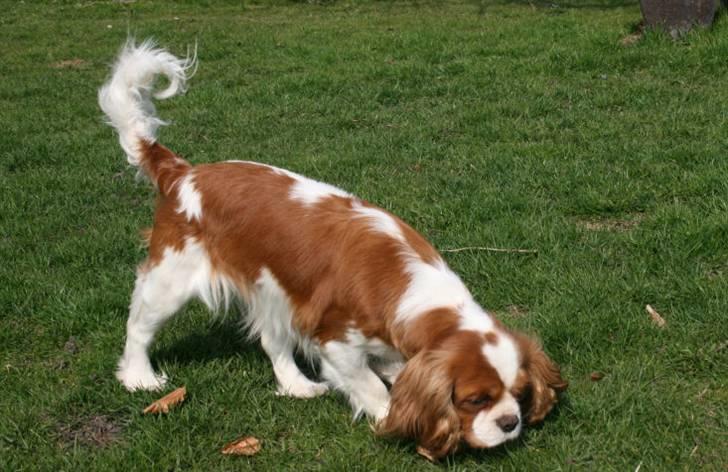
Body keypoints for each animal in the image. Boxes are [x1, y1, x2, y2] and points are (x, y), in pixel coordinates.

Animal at [98, 40, 568, 460]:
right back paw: (139, 378)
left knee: (273, 341)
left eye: (519, 394)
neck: (408, 286)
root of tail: (183, 172)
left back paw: (297, 386)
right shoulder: (336, 340)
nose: (510, 422)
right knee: (139, 326)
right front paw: (390, 419)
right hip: (172, 277)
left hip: (274, 289)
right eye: (475, 400)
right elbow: (371, 385)